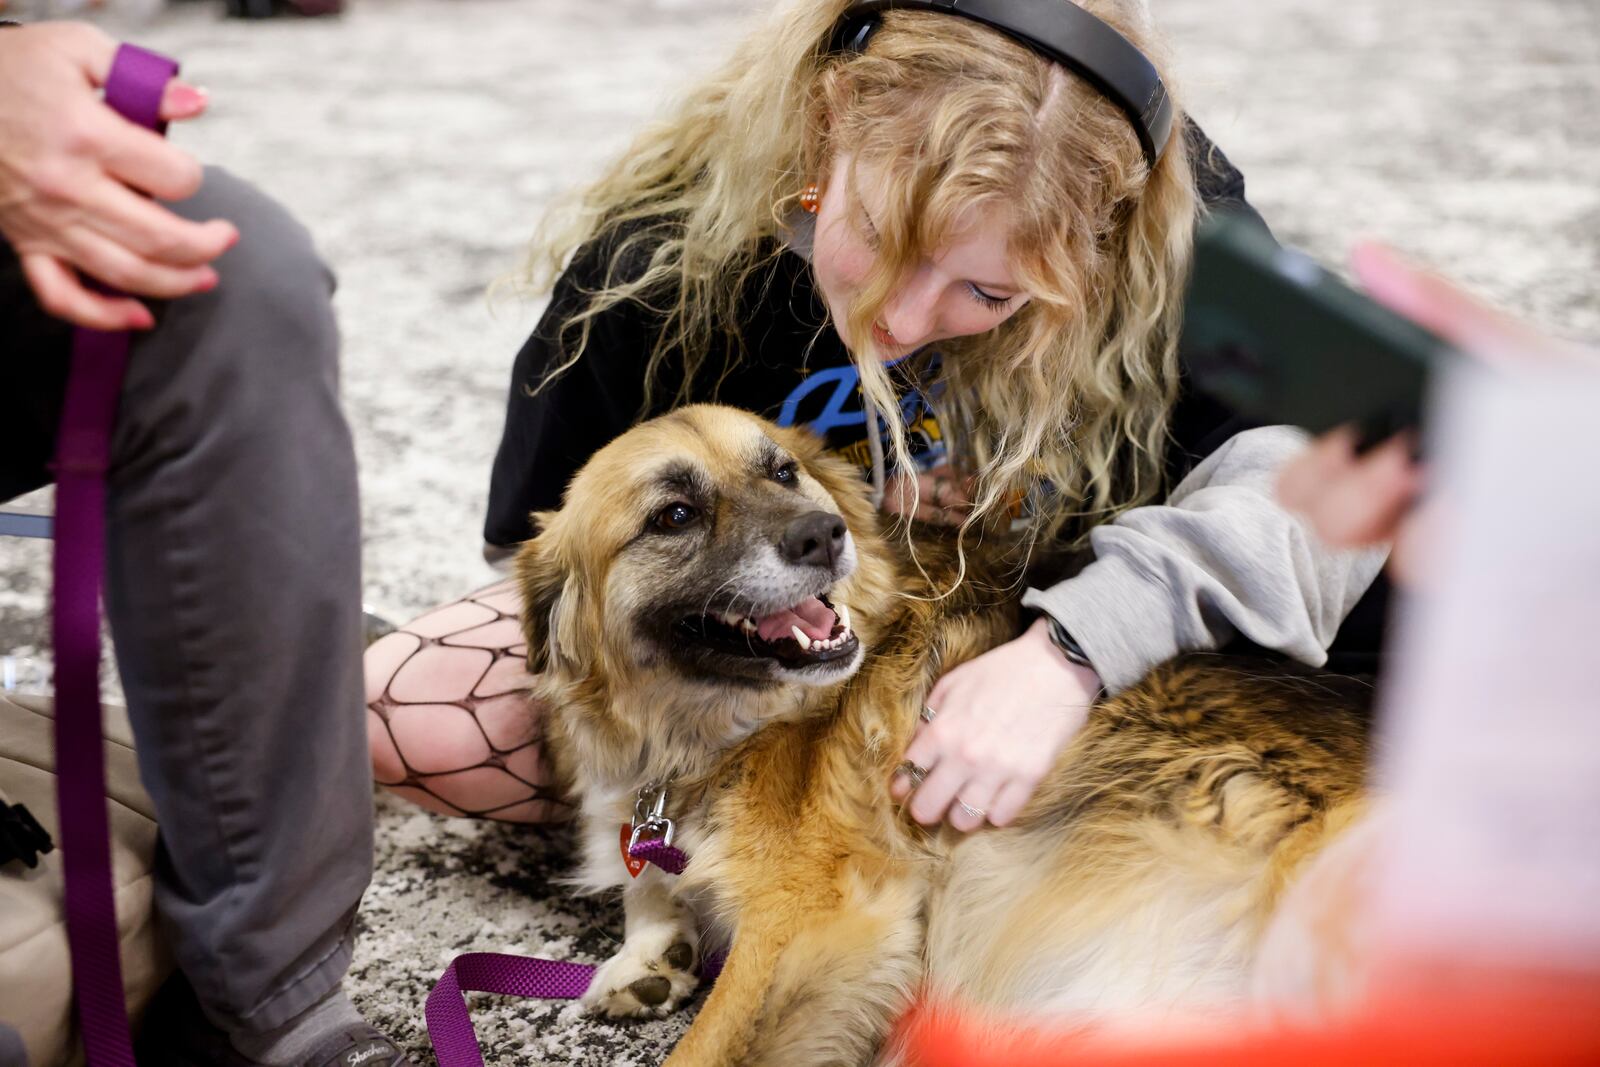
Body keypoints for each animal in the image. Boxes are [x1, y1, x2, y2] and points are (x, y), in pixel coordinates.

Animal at [518, 406, 1369, 1067]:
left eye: (785, 471)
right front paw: (648, 951)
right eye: (673, 515)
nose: (824, 535)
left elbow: (702, 1044)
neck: (712, 727)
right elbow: (646, 877)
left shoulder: (818, 919)